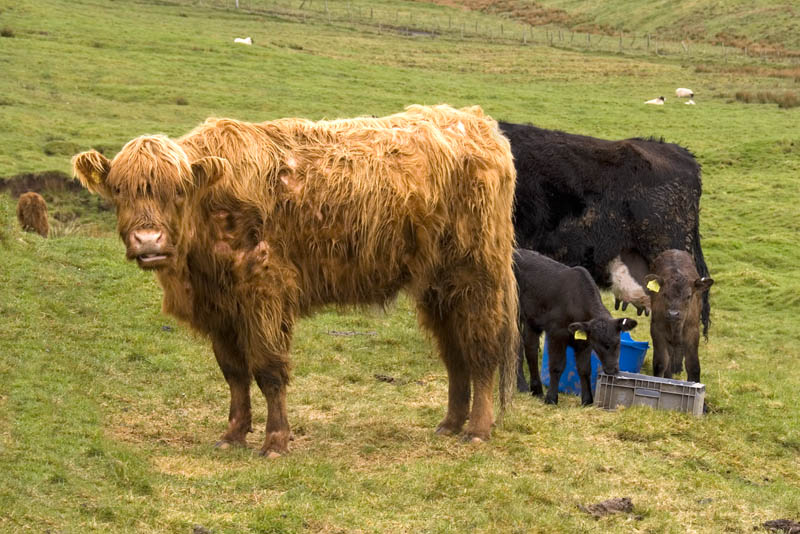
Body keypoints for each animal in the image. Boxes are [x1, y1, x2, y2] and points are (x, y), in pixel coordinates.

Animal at [72, 104, 520, 456]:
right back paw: (450, 424)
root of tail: (474, 122)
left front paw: (275, 441)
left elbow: (268, 371)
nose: (149, 240)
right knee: (454, 353)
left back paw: (477, 429)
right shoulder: (221, 309)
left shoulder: (265, 295)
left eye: (178, 190)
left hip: (476, 277)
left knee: (481, 350)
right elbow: (233, 373)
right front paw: (233, 435)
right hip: (437, 286)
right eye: (119, 190)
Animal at [514, 248, 637, 406]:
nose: (612, 370)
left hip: (532, 321)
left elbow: (584, 370)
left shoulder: (584, 342)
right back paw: (522, 385)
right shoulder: (556, 334)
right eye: (601, 345)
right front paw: (551, 398)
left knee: (531, 349)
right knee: (516, 345)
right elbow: (557, 366)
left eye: (618, 343)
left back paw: (536, 390)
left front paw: (587, 400)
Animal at [644, 249, 713, 383]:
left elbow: (693, 366)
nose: (673, 314)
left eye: (688, 296)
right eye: (664, 294)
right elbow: (660, 363)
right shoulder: (656, 330)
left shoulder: (693, 331)